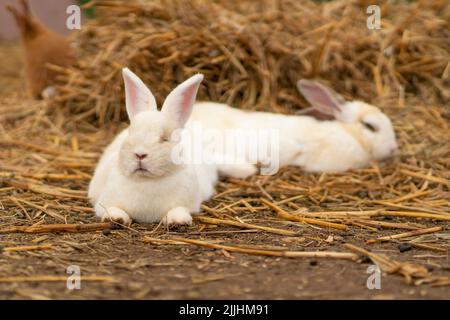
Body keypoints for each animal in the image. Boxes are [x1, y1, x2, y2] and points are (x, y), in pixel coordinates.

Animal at [88, 67, 218, 225]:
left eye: (165, 139)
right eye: (131, 133)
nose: (140, 154)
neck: (146, 180)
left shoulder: (188, 204)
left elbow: (178, 210)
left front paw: (178, 220)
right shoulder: (103, 203)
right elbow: (112, 208)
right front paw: (115, 218)